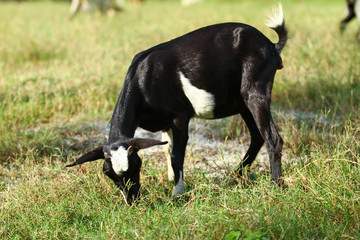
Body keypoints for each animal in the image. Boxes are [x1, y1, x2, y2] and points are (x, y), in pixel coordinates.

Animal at [66, 3, 288, 204]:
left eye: (136, 165)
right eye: (109, 174)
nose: (132, 201)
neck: (142, 79)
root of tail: (270, 45)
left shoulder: (179, 116)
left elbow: (176, 155)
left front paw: (177, 193)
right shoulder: (165, 123)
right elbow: (166, 148)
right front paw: (171, 180)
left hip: (255, 90)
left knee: (272, 138)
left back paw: (275, 185)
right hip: (242, 102)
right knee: (257, 136)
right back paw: (234, 177)